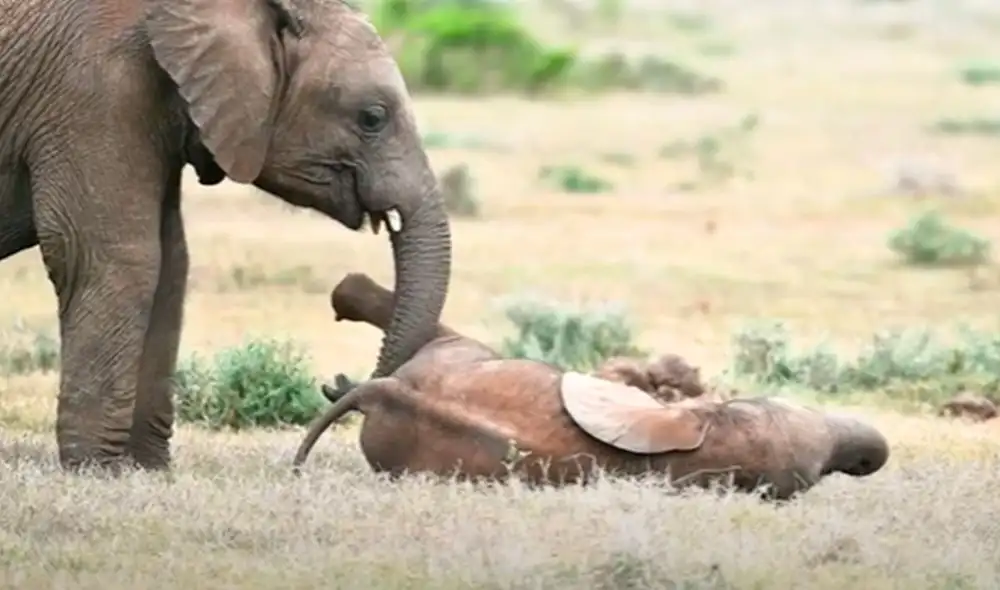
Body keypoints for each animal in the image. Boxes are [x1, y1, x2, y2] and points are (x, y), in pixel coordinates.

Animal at [0, 0, 452, 472]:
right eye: (373, 117)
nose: (336, 383)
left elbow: (171, 266)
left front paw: (148, 469)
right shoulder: (96, 93)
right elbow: (115, 259)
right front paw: (98, 471)